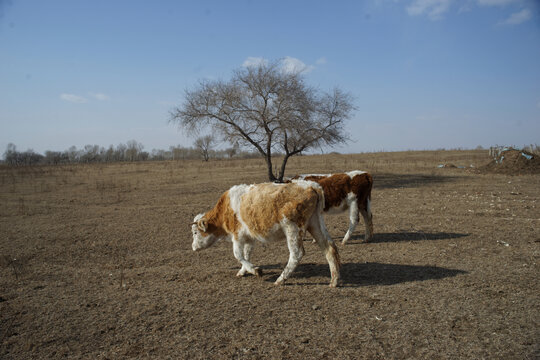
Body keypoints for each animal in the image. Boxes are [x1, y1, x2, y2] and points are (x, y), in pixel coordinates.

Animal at [192, 181, 340, 288]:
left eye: (195, 232)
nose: (193, 247)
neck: (225, 208)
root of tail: (311, 186)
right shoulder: (249, 238)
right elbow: (246, 254)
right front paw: (243, 271)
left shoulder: (237, 236)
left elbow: (238, 255)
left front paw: (255, 270)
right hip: (315, 224)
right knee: (329, 247)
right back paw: (334, 281)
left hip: (292, 228)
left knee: (296, 254)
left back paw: (280, 279)